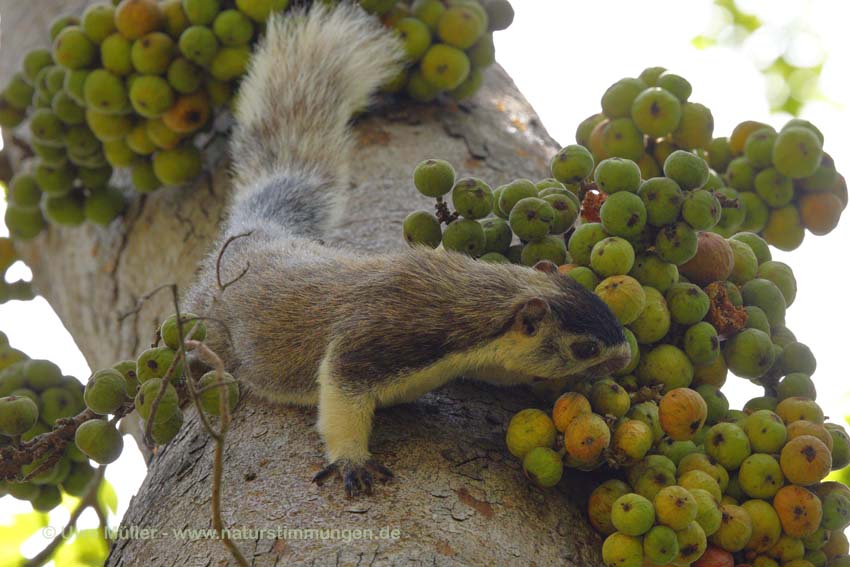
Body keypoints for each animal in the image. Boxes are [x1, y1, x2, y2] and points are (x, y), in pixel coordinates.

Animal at [189, 0, 632, 496]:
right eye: (586, 348)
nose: (626, 358)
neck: (478, 305)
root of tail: (258, 232)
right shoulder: (379, 339)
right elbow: (340, 393)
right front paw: (351, 460)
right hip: (206, 313)